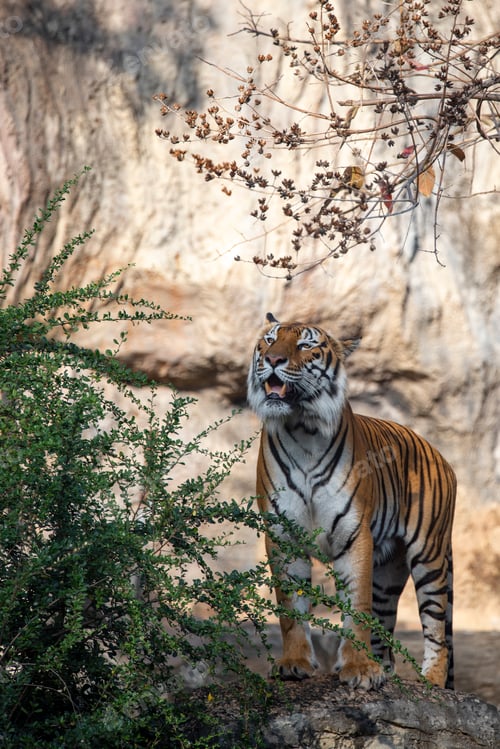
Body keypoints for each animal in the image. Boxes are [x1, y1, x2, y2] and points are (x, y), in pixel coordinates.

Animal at [247, 313, 456, 690]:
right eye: (269, 340)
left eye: (305, 345)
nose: (273, 359)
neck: (302, 428)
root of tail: (438, 453)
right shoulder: (284, 534)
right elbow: (290, 608)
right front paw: (294, 663)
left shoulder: (354, 533)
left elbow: (357, 607)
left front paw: (359, 669)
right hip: (387, 573)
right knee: (386, 635)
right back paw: (385, 671)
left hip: (429, 555)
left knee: (436, 629)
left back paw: (430, 682)